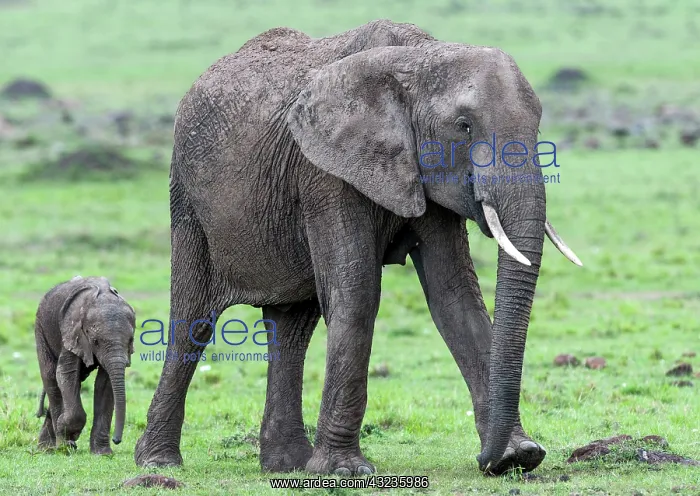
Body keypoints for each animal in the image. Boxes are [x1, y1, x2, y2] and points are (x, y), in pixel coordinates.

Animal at [35, 276, 135, 454]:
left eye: (130, 341)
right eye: (95, 341)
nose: (117, 440)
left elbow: (105, 383)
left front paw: (102, 454)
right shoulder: (71, 331)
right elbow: (66, 373)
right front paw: (69, 440)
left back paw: (46, 448)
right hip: (41, 328)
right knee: (51, 379)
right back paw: (58, 446)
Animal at [134, 20, 581, 475]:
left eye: (538, 128)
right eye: (464, 126)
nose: (484, 460)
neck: (419, 59)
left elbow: (455, 296)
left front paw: (517, 456)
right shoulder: (325, 171)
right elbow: (357, 294)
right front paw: (343, 471)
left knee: (292, 328)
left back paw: (286, 465)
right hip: (187, 198)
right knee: (193, 321)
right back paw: (158, 462)